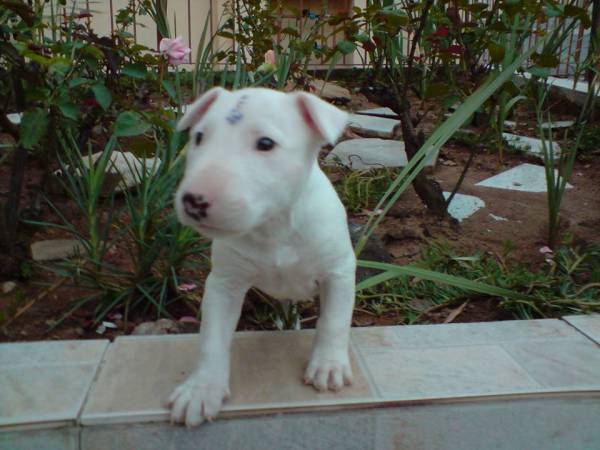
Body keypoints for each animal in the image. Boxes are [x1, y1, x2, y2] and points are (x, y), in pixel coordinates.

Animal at [168, 87, 356, 426]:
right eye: (199, 137)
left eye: (266, 143)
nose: (194, 201)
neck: (274, 226)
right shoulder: (224, 283)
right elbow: (212, 339)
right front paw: (200, 391)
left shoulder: (338, 271)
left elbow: (334, 319)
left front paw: (328, 366)